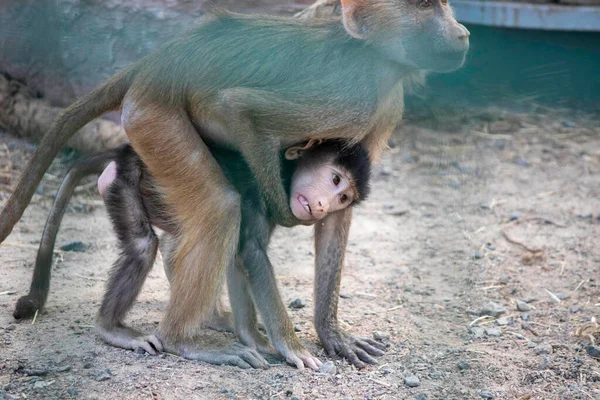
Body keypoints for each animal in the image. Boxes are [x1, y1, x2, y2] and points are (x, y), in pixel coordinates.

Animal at [15, 139, 376, 370]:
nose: (326, 205)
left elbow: (241, 256)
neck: (284, 174)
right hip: (125, 182)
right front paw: (290, 347)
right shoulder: (259, 192)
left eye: (344, 197)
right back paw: (114, 329)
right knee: (146, 245)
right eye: (334, 179)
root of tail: (125, 152)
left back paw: (212, 318)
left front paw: (252, 337)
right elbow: (251, 253)